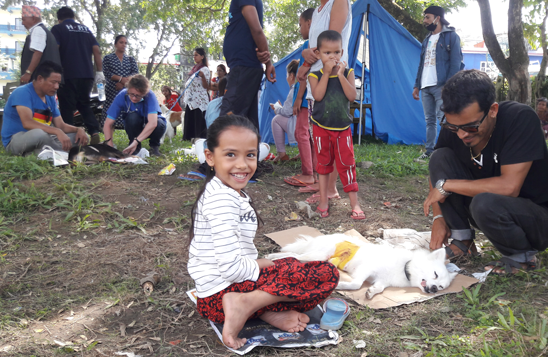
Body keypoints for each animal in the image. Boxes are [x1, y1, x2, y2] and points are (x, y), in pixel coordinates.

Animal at [266, 234, 458, 298]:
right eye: (435, 274)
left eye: (441, 287)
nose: (434, 289)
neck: (404, 268)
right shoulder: (366, 269)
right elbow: (356, 284)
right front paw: (341, 285)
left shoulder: (381, 281)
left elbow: (378, 288)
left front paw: (371, 292)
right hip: (319, 255)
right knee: (295, 256)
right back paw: (272, 257)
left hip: (316, 256)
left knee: (294, 256)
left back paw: (273, 257)